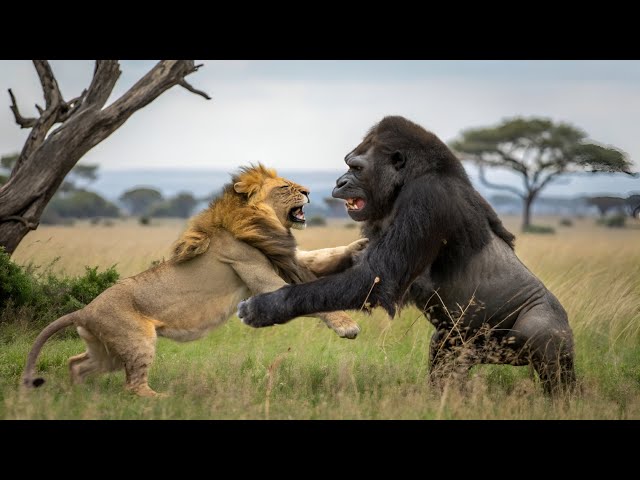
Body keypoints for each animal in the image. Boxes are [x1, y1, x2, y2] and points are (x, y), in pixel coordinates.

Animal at [22, 164, 366, 397]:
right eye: (285, 187)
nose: (308, 192)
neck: (256, 222)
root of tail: (84, 310)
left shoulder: (279, 256)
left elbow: (318, 256)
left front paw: (359, 246)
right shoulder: (258, 273)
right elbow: (307, 295)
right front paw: (346, 325)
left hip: (105, 351)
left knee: (76, 363)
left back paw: (78, 395)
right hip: (137, 340)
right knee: (133, 386)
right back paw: (160, 399)